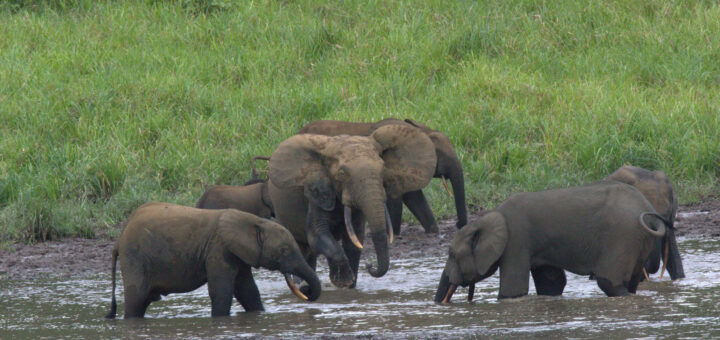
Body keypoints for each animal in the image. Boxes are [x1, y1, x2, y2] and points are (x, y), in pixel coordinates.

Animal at [105, 202, 320, 318]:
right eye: (284, 251)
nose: (306, 290)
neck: (254, 221)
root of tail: (119, 239)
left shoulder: (237, 252)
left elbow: (248, 290)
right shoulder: (219, 249)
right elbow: (222, 290)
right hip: (134, 256)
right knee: (136, 298)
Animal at [268, 123, 436, 288]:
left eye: (383, 170)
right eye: (342, 174)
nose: (369, 266)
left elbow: (355, 240)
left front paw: (349, 287)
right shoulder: (316, 191)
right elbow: (318, 235)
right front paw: (343, 281)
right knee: (300, 247)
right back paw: (302, 286)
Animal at [296, 117, 466, 234]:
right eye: (440, 154)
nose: (458, 225)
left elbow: (413, 197)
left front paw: (433, 231)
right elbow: (396, 199)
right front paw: (395, 235)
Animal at [436, 181, 668, 302]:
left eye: (452, 255)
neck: (488, 217)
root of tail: (648, 211)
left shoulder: (516, 241)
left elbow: (512, 292)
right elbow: (551, 284)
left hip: (621, 237)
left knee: (609, 283)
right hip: (638, 241)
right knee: (630, 283)